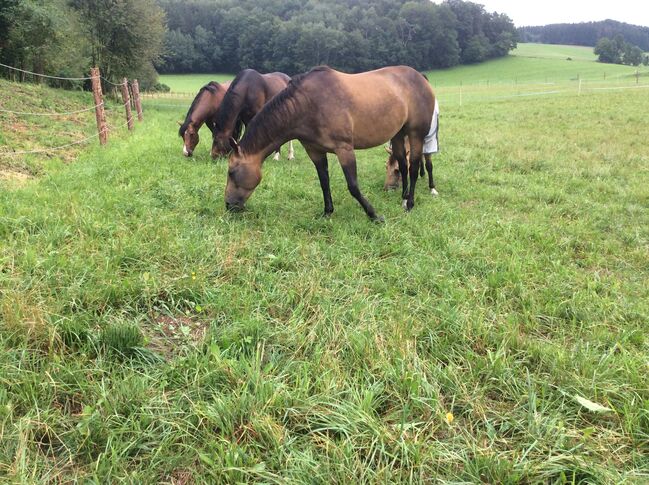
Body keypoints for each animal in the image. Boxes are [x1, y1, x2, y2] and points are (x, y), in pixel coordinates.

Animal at [225, 65, 438, 221]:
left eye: (231, 172)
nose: (228, 205)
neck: (308, 105)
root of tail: (420, 77)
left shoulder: (344, 149)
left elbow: (353, 186)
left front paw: (374, 215)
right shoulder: (315, 151)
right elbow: (324, 182)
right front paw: (327, 212)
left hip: (416, 134)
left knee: (414, 166)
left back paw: (410, 203)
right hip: (398, 134)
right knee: (402, 164)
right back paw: (403, 198)